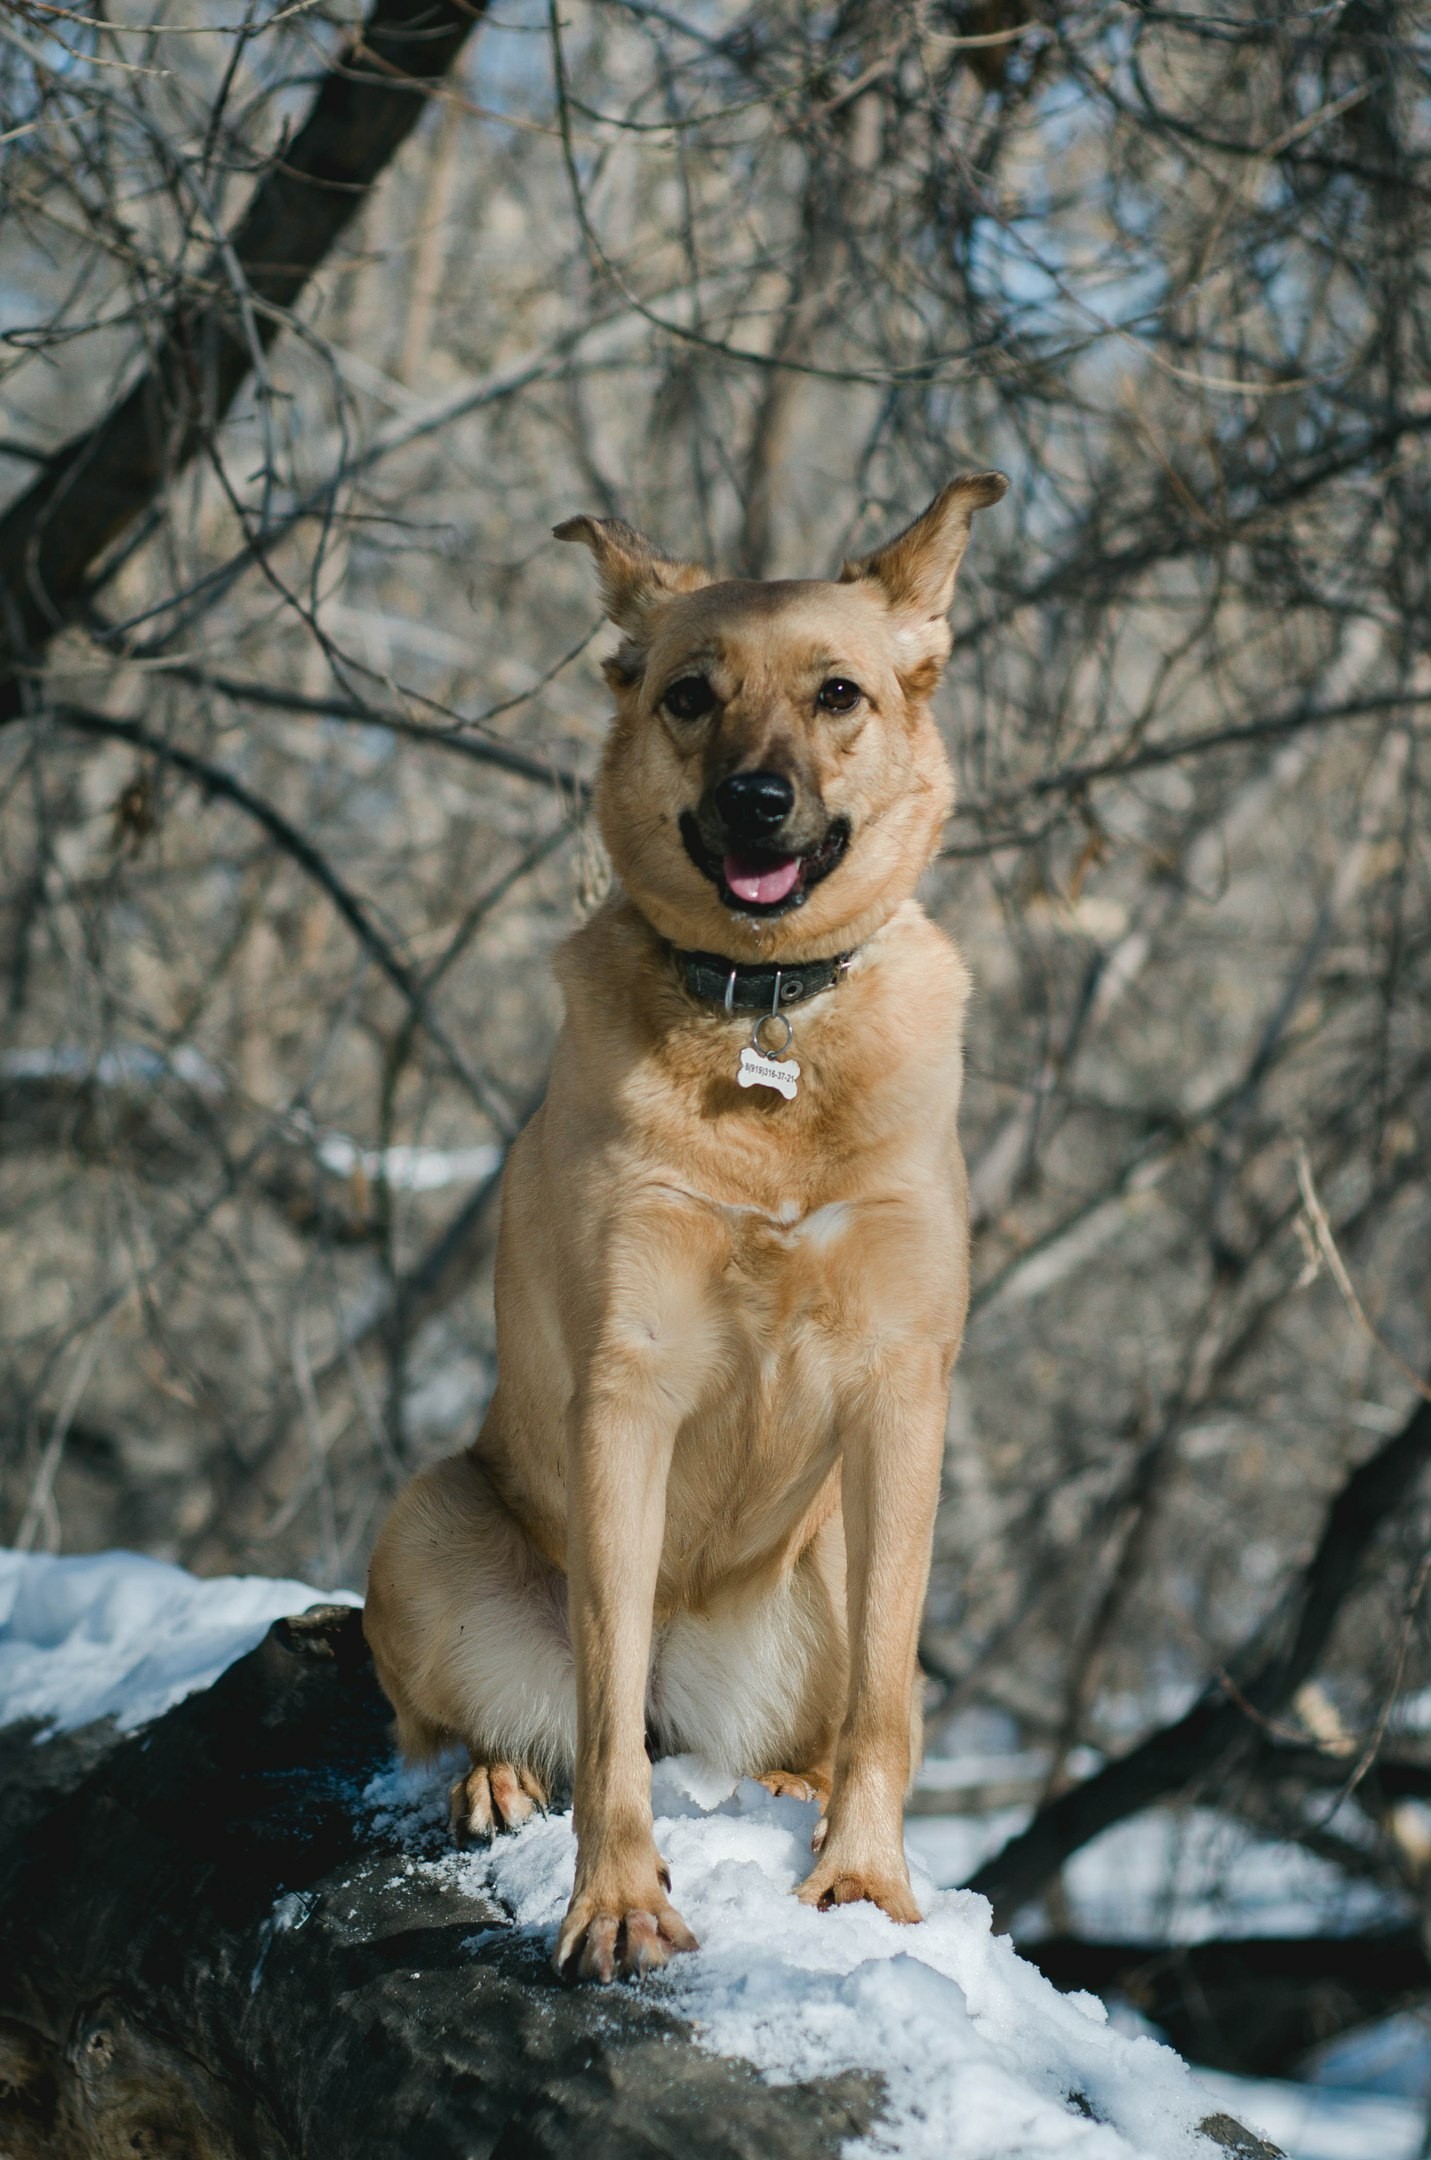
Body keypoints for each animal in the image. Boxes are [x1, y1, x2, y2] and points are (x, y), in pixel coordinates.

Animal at [369, 468, 1007, 1978]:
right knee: (481, 1717)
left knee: (827, 1715)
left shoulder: (901, 1396)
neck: (767, 1019)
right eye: (688, 696)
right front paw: (615, 1901)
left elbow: (887, 1699)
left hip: (823, 1558)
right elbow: (602, 1719)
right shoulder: (626, 1391)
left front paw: (864, 1882)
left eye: (837, 693)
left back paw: (787, 1784)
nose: (755, 801)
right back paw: (492, 1773)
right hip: (425, 1520)